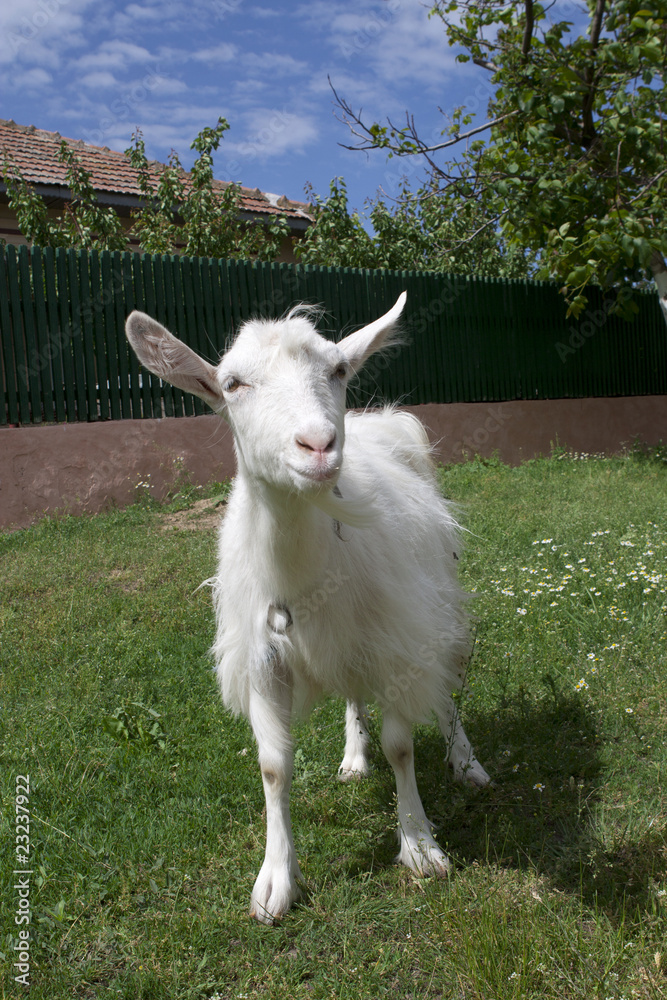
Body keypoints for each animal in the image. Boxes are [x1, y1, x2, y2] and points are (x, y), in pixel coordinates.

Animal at [125, 293, 490, 924]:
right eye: (232, 383)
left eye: (339, 369)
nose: (318, 446)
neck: (303, 575)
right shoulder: (263, 656)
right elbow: (274, 766)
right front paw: (276, 881)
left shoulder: (395, 639)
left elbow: (401, 746)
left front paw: (419, 845)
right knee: (353, 692)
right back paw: (353, 755)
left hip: (433, 603)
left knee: (445, 687)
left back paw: (465, 762)